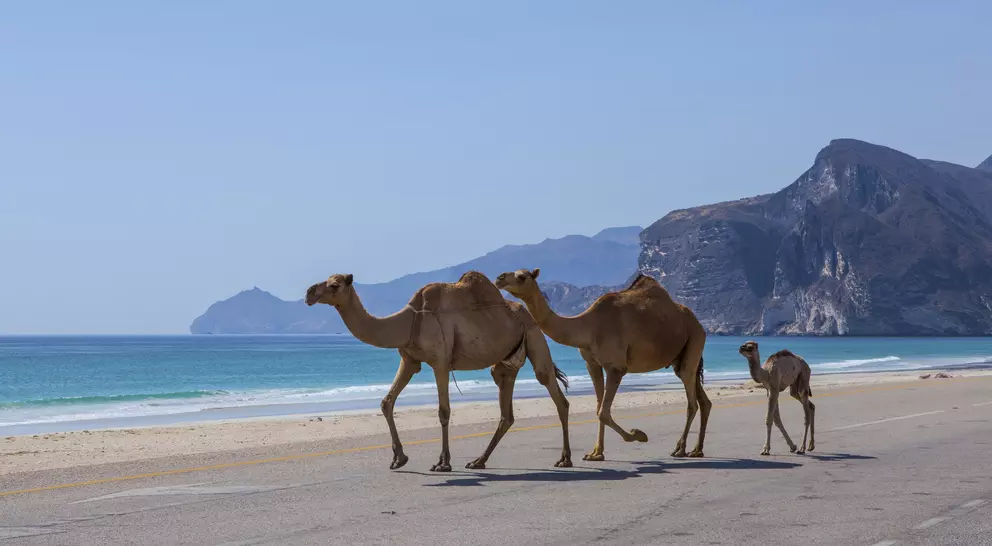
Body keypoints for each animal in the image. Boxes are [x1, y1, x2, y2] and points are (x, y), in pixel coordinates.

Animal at [305, 271, 572, 471]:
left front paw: (443, 463)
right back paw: (478, 461)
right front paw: (399, 459)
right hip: (505, 364)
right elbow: (386, 402)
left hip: (535, 337)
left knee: (555, 393)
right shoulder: (410, 360)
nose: (309, 293)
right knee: (507, 412)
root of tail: (526, 312)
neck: (409, 322)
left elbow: (444, 411)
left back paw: (565, 459)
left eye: (335, 285)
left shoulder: (440, 362)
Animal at [495, 269, 711, 460]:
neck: (588, 327)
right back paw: (697, 450)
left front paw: (638, 435)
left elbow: (603, 413)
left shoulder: (616, 367)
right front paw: (596, 454)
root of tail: (699, 324)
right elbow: (599, 406)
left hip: (695, 340)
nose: (499, 278)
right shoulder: (592, 364)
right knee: (702, 399)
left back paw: (680, 449)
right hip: (680, 357)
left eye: (522, 276)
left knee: (691, 401)